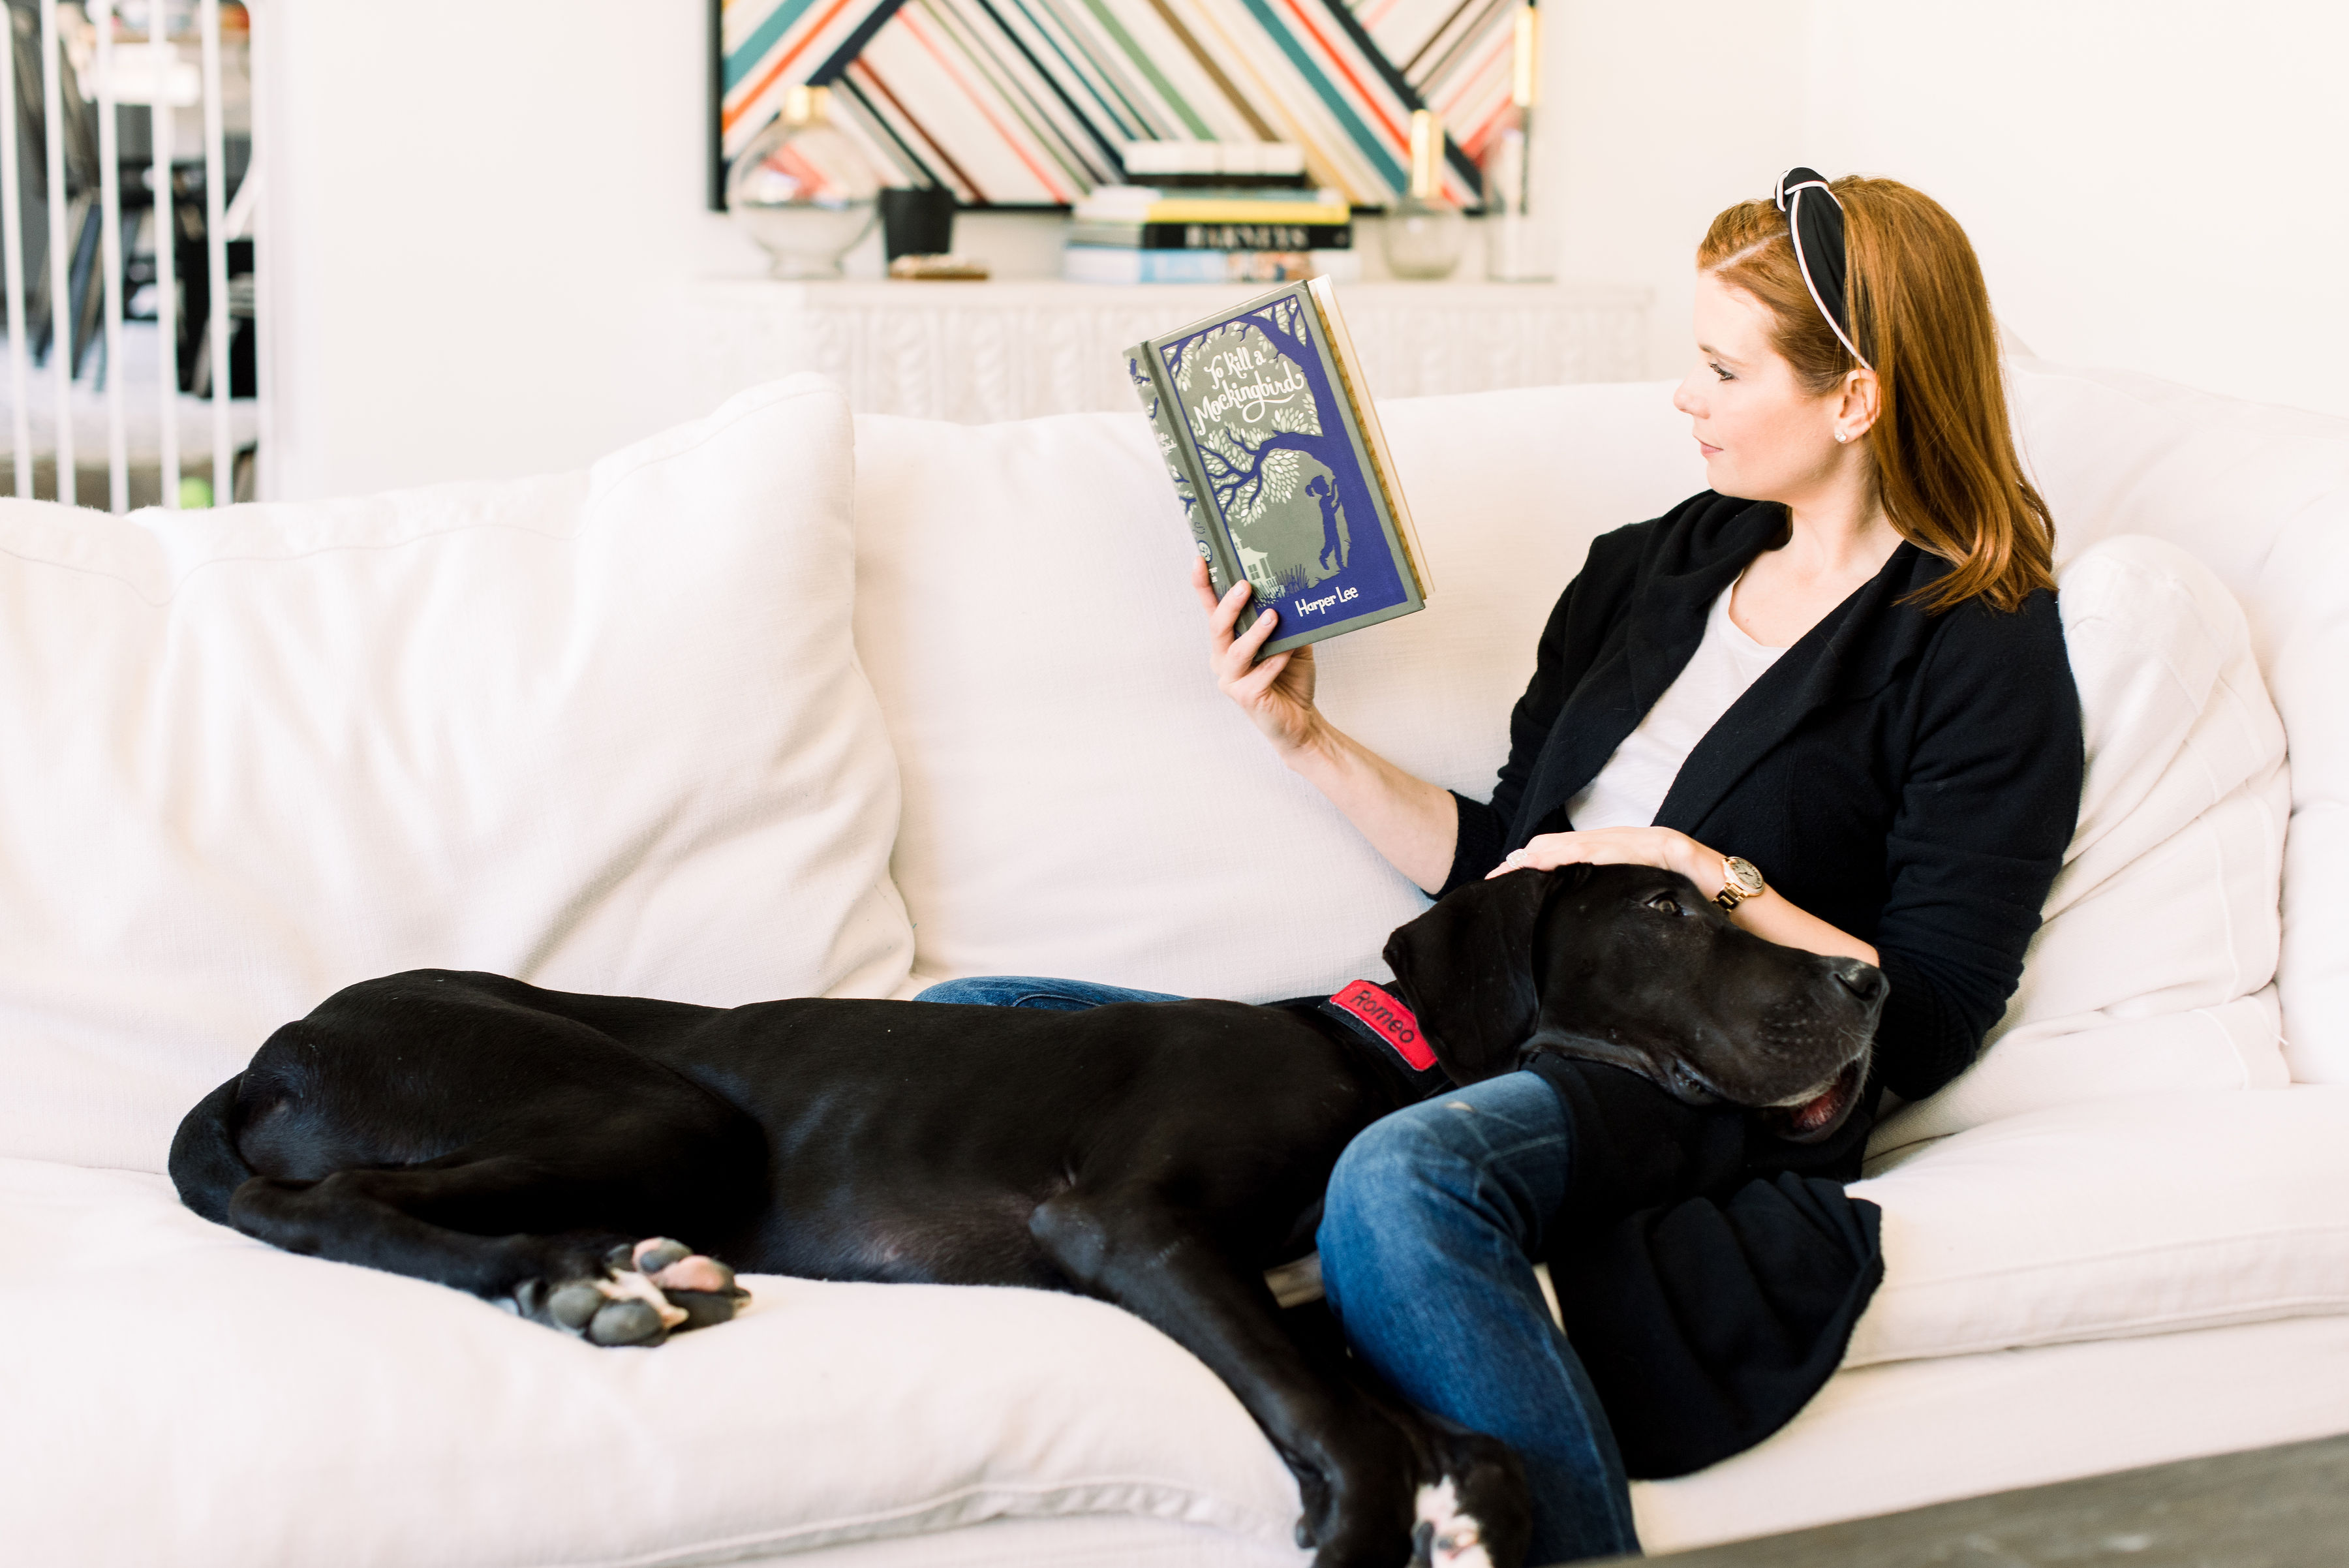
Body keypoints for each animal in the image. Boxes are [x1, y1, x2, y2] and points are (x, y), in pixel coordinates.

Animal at [174, 863, 1879, 1558]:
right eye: (1665, 906)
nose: (1865, 978)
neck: (1377, 1061)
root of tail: (278, 1042)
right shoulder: (1131, 1228)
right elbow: (1350, 1439)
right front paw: (1353, 1529)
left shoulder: (1299, 1301)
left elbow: (1467, 1442)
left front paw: (1464, 1509)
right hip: (658, 1107)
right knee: (330, 1205)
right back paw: (572, 1279)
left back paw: (617, 1270)